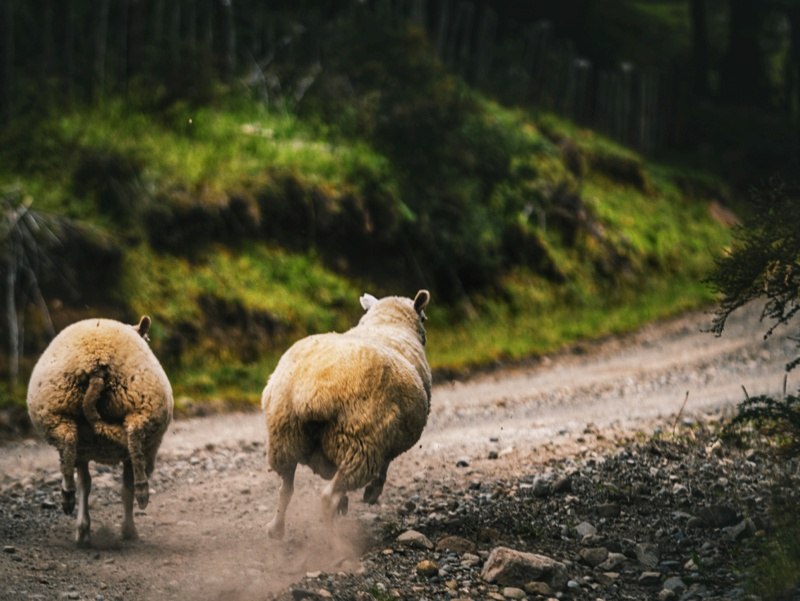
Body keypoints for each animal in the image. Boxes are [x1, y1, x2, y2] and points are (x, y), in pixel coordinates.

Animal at [26, 316, 173, 546]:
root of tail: (96, 363)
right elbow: (124, 487)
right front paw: (127, 530)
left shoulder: (83, 452)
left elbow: (86, 484)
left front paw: (83, 529)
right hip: (142, 406)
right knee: (134, 438)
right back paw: (143, 492)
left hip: (57, 414)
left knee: (68, 441)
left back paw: (67, 496)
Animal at [262, 289, 431, 539]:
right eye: (424, 318)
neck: (386, 323)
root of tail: (310, 392)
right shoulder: (386, 438)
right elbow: (384, 467)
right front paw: (371, 494)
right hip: (360, 444)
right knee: (327, 497)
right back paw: (335, 541)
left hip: (285, 438)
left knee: (286, 489)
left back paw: (276, 528)